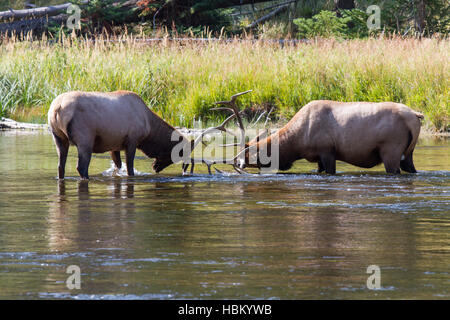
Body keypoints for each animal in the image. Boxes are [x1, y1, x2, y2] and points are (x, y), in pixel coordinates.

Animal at [48, 90, 193, 180]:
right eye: (179, 154)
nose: (154, 167)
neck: (149, 128)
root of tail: (57, 108)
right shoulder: (132, 140)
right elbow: (129, 168)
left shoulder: (114, 145)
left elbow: (118, 166)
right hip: (85, 139)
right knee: (81, 166)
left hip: (58, 137)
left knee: (60, 166)